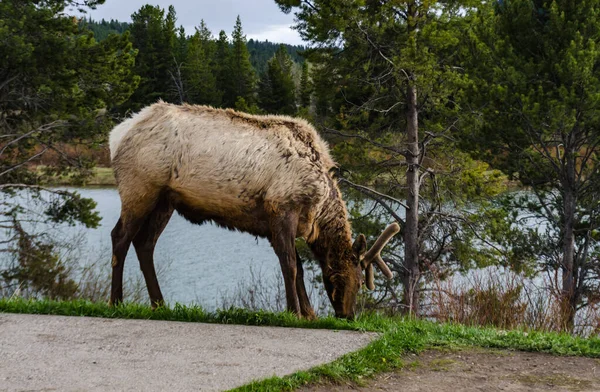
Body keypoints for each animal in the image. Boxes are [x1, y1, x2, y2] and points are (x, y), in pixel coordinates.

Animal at [109, 101, 398, 318]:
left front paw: (309, 314)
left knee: (145, 243)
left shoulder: (277, 223)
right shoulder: (281, 209)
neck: (318, 210)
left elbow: (299, 267)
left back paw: (160, 304)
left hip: (164, 201)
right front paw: (294, 312)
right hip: (140, 187)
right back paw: (116, 301)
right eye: (358, 281)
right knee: (120, 237)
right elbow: (290, 266)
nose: (348, 316)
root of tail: (116, 135)